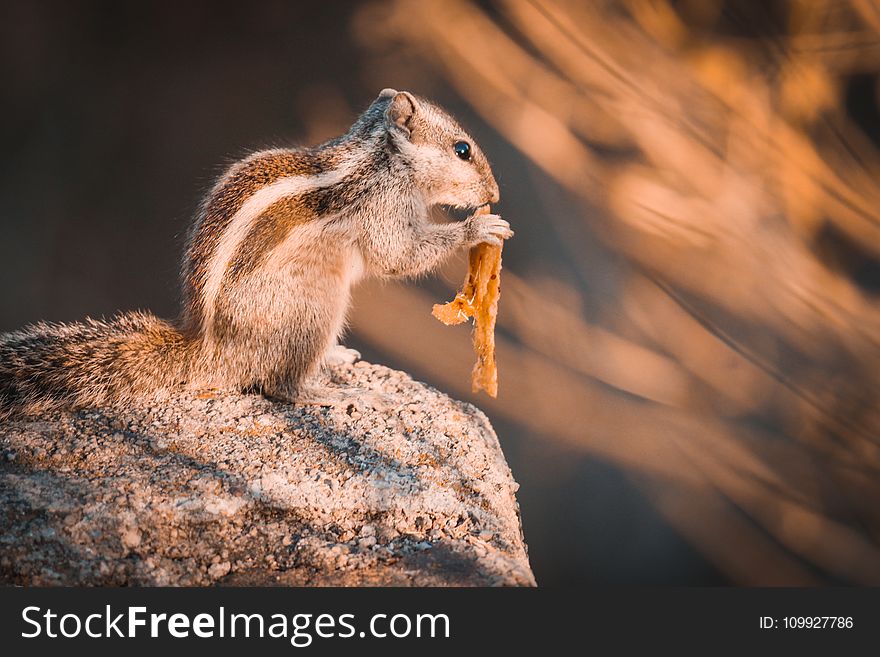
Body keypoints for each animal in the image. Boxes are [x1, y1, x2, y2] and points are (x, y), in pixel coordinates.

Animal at [0, 88, 512, 420]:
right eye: (462, 149)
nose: (495, 193)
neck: (381, 157)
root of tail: (209, 351)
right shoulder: (381, 209)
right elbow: (398, 255)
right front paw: (480, 227)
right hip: (314, 308)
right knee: (280, 386)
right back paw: (334, 393)